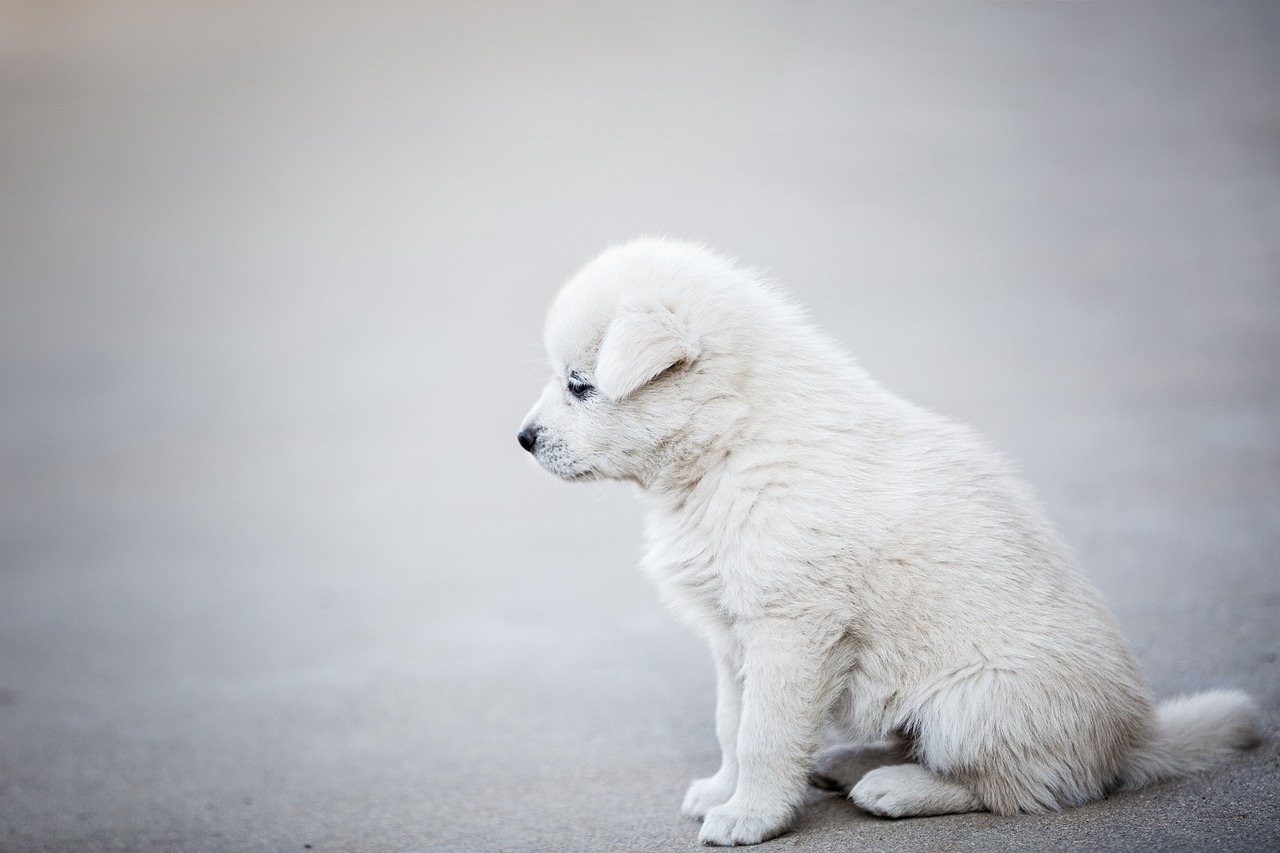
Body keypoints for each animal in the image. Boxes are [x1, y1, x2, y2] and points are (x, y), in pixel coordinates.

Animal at [514, 239, 1254, 845]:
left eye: (580, 385)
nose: (522, 438)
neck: (733, 441)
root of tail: (1132, 741)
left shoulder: (789, 628)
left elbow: (763, 733)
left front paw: (749, 816)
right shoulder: (733, 633)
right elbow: (731, 721)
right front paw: (722, 791)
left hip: (974, 702)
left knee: (1021, 787)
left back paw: (897, 788)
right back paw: (850, 762)